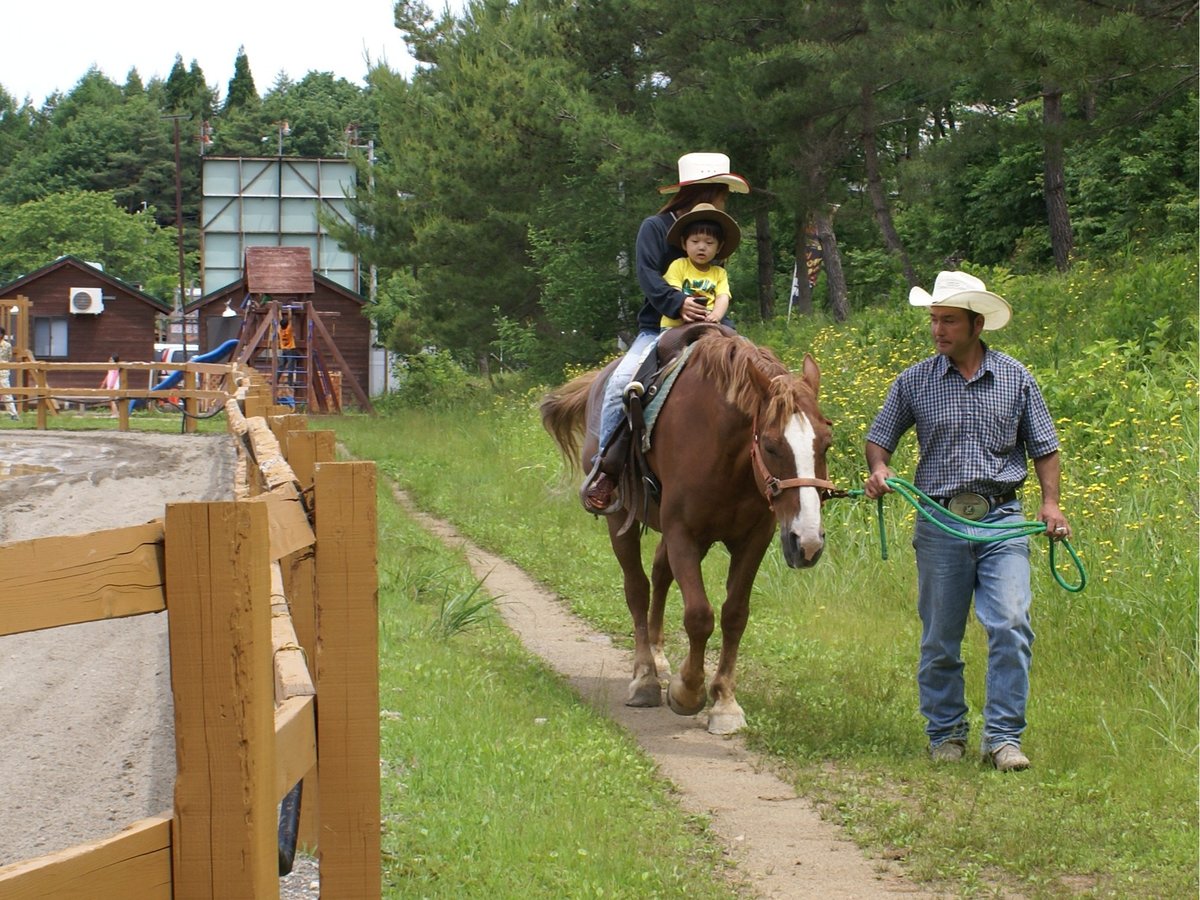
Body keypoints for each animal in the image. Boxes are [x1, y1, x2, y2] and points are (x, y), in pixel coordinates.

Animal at [544, 328, 835, 734]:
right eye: (772, 446)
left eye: (826, 443)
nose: (807, 543)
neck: (724, 449)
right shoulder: (683, 533)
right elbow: (698, 615)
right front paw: (687, 692)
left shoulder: (753, 540)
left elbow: (734, 615)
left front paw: (725, 702)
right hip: (622, 521)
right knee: (637, 589)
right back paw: (645, 677)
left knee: (660, 574)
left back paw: (659, 656)